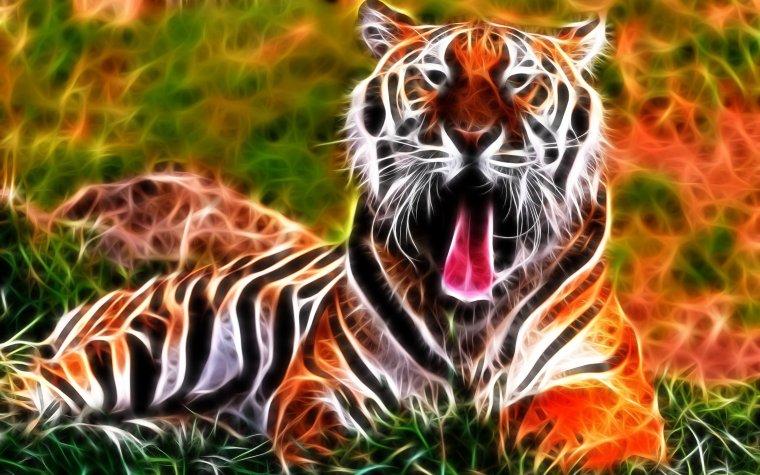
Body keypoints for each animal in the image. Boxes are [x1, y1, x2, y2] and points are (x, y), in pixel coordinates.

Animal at [5, 0, 665, 471]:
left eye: (520, 82)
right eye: (434, 77)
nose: (472, 136)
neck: (470, 318)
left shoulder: (614, 387)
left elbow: (549, 413)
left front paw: (490, 433)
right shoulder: (322, 384)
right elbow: (337, 439)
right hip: (136, 350)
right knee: (27, 393)